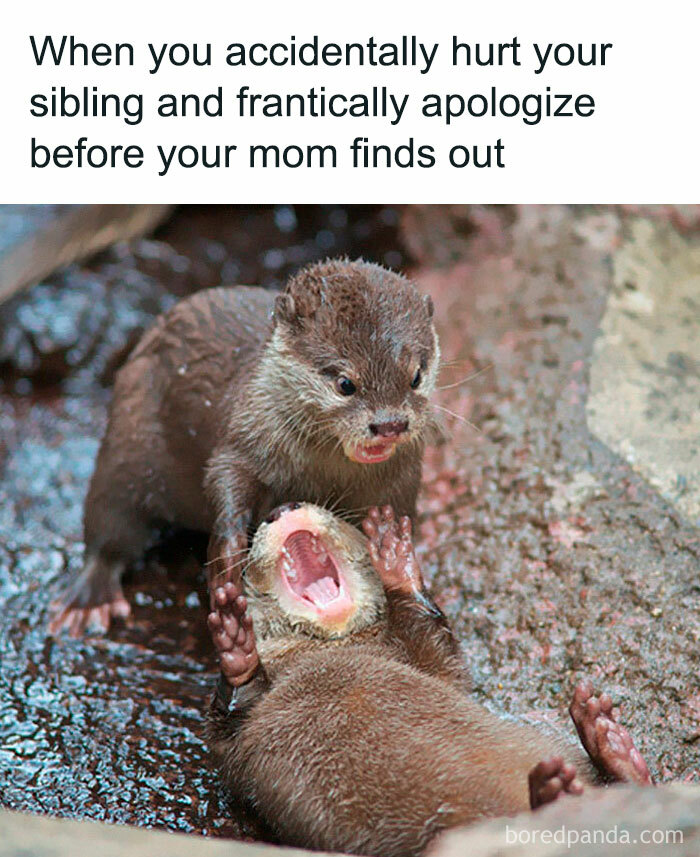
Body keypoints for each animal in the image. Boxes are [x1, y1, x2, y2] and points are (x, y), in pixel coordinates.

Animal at [50, 260, 440, 636]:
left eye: (415, 377)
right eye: (346, 383)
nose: (390, 424)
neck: (321, 476)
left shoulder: (402, 483)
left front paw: (393, 554)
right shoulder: (243, 441)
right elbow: (224, 480)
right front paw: (227, 562)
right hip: (126, 443)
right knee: (110, 522)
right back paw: (89, 601)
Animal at [206, 503, 653, 857]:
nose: (281, 508)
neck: (326, 654)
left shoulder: (434, 666)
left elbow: (439, 648)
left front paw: (396, 560)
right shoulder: (235, 749)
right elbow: (228, 727)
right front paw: (236, 645)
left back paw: (605, 743)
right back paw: (566, 783)